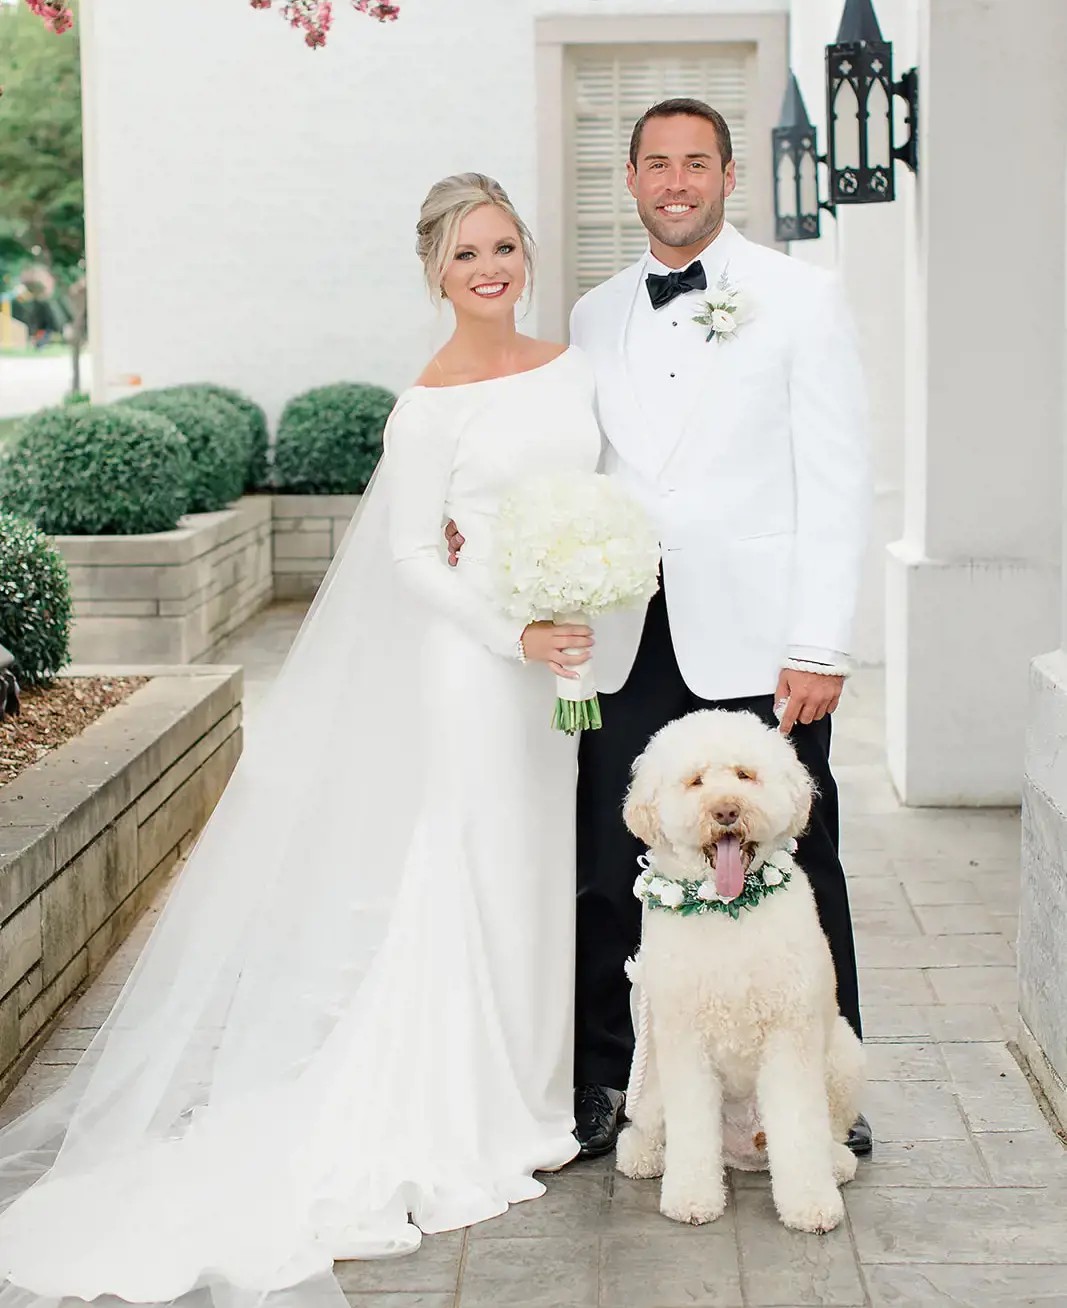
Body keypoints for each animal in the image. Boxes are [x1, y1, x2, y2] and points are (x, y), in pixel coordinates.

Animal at [619, 711, 863, 1229]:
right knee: (649, 1127)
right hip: (650, 1074)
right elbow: (691, 1128)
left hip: (843, 1053)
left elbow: (799, 1127)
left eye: (745, 775)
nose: (726, 811)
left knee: (826, 1130)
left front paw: (810, 1203)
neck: (726, 908)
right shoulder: (684, 1041)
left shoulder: (791, 1037)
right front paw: (692, 1198)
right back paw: (642, 1155)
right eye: (695, 781)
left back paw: (835, 1161)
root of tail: (742, 1149)